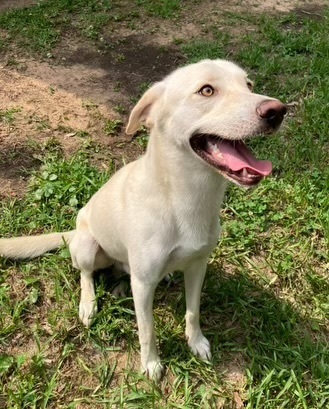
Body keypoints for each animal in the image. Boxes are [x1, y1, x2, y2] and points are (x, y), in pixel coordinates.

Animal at [0, 59, 284, 380]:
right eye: (207, 90)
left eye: (249, 85)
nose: (278, 110)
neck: (184, 197)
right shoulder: (144, 284)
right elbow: (147, 330)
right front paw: (150, 364)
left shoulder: (198, 265)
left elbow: (193, 311)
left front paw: (196, 342)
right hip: (87, 246)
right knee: (86, 274)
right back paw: (88, 303)